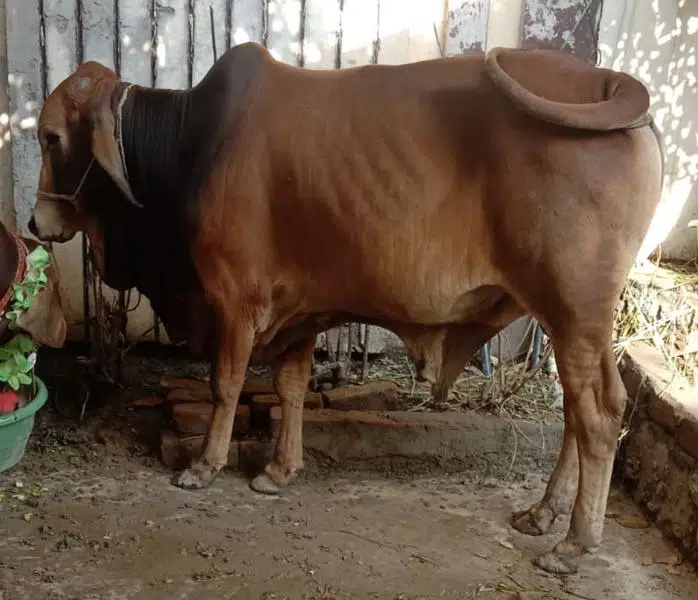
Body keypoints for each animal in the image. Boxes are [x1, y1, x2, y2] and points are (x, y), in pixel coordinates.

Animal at [27, 43, 663, 575]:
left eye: (51, 137)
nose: (35, 222)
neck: (189, 146)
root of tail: (609, 78)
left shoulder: (236, 300)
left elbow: (225, 385)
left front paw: (204, 467)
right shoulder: (299, 312)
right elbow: (289, 387)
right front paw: (278, 471)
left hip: (575, 311)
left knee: (600, 414)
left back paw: (574, 544)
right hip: (566, 321)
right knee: (575, 413)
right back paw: (543, 513)